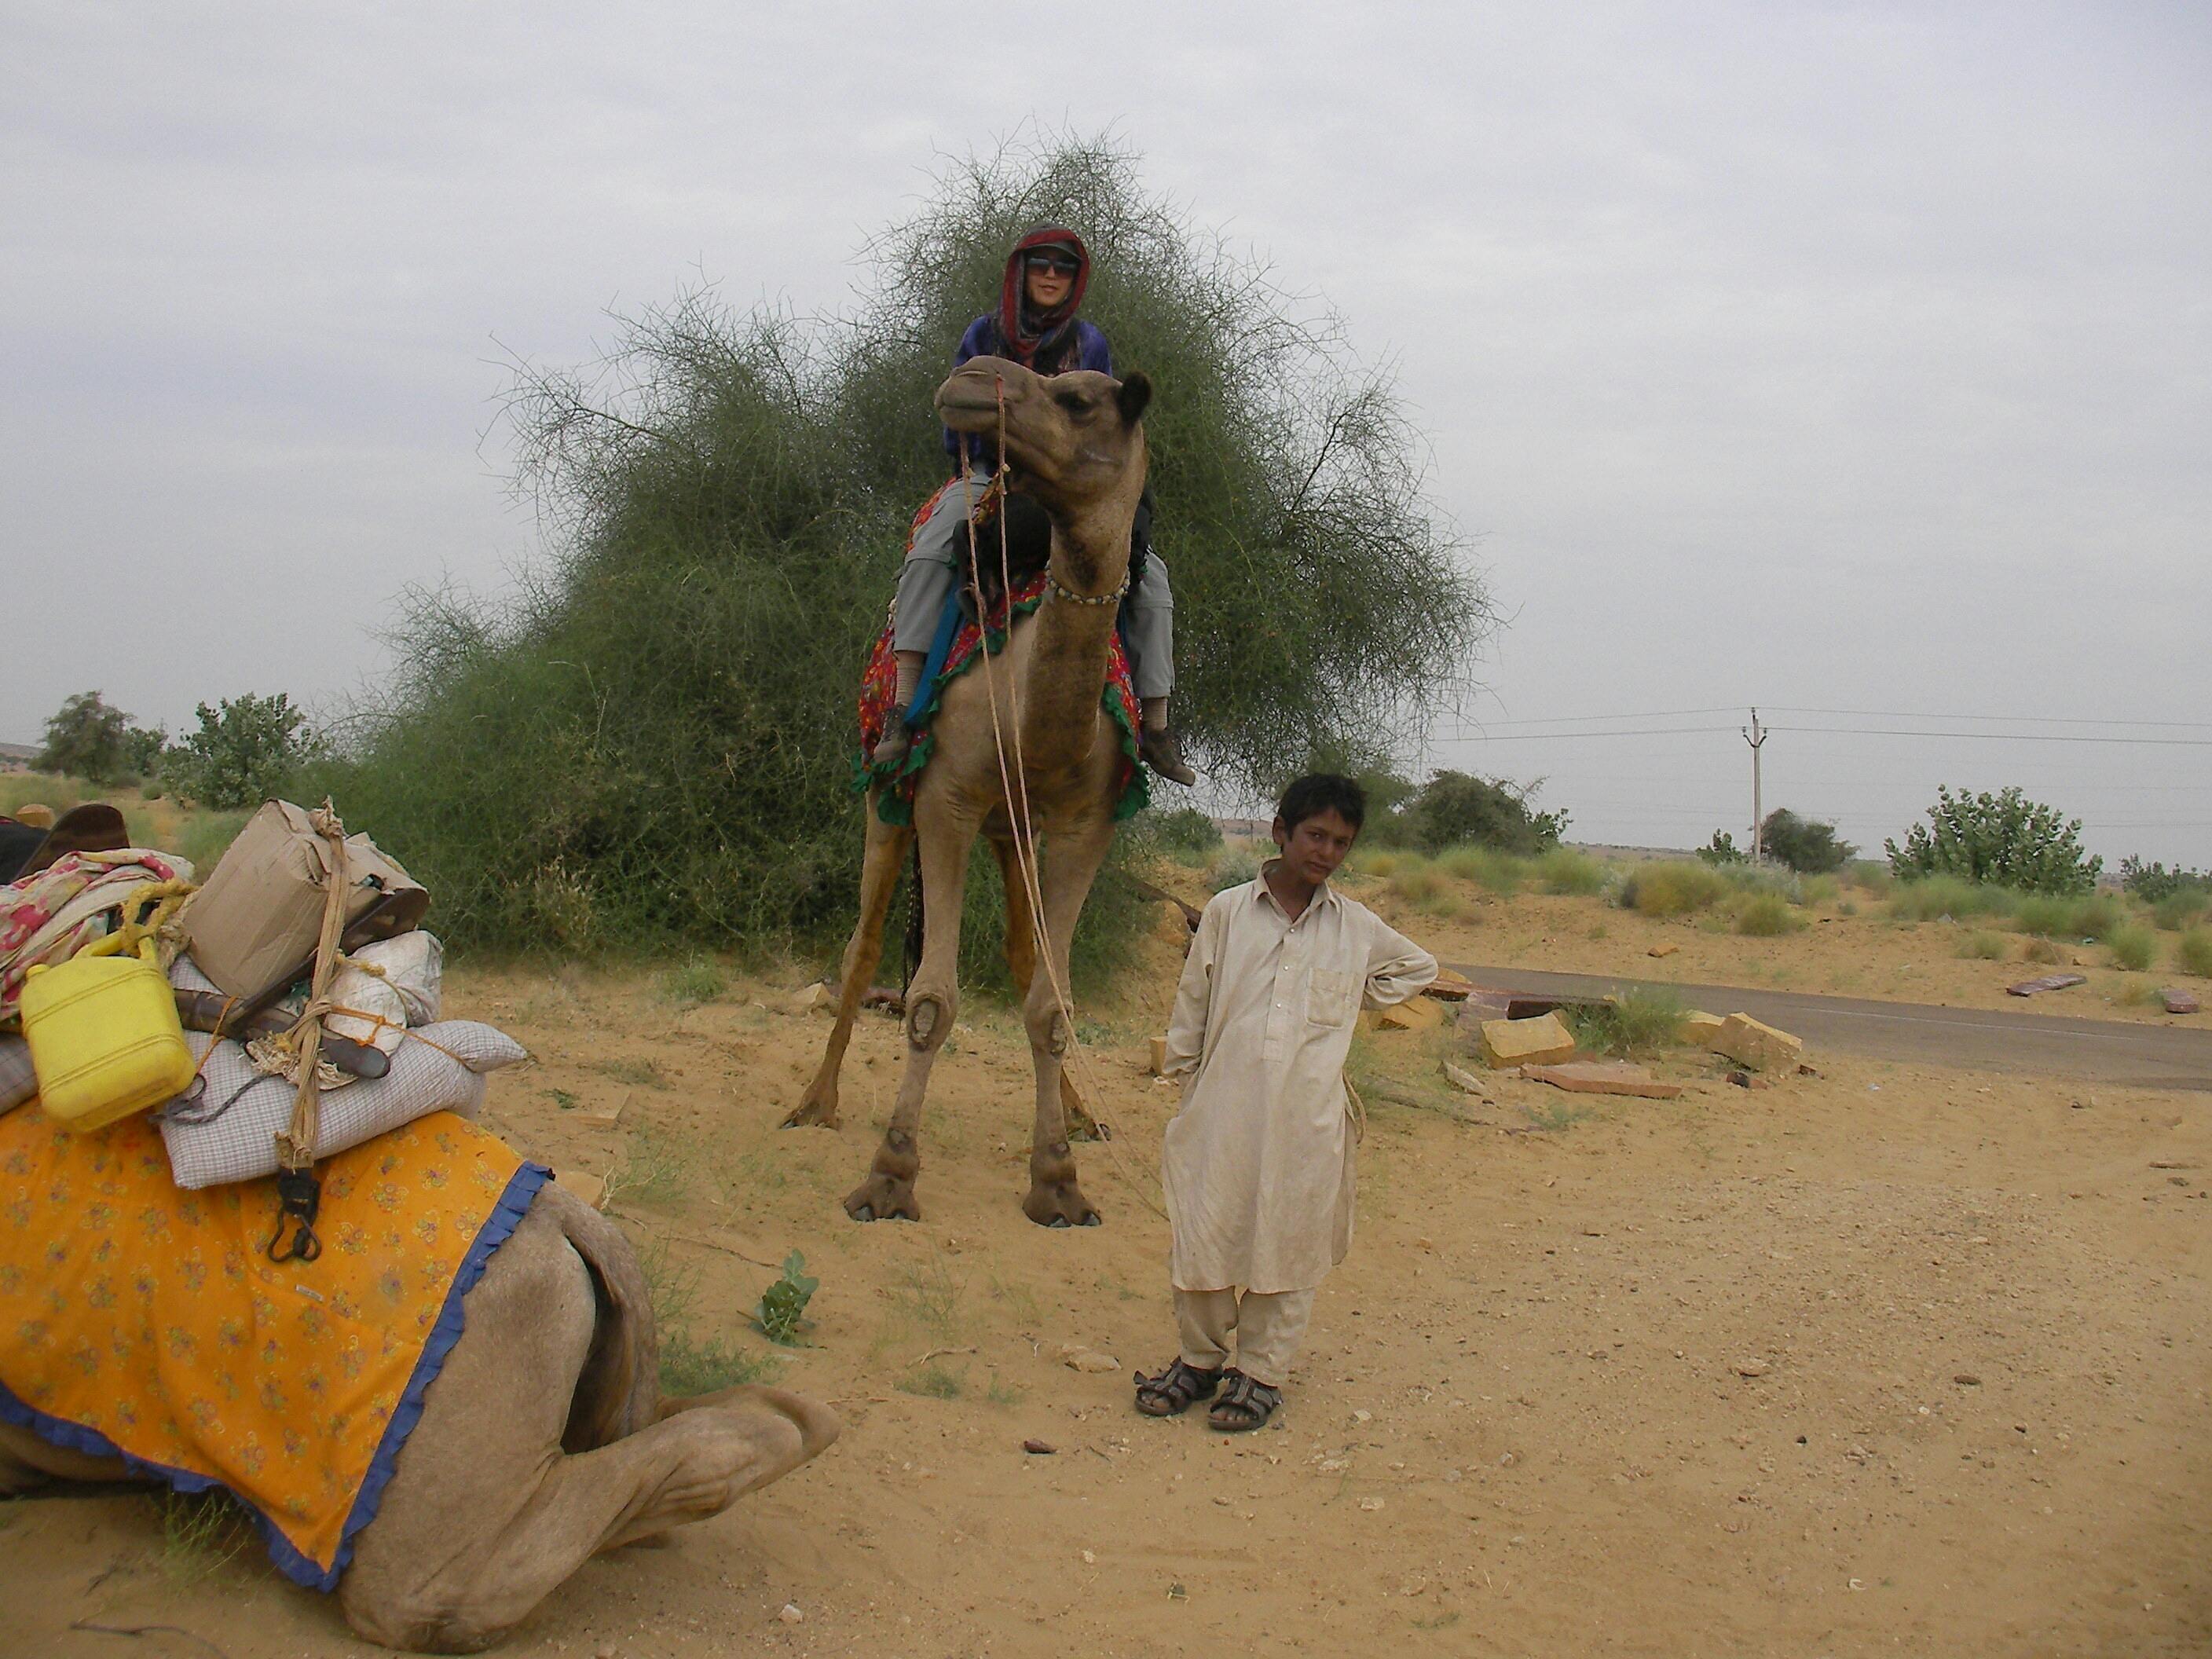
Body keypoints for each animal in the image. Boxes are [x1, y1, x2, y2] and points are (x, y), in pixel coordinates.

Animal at [782, 358, 1159, 1229]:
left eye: (1077, 400)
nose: (972, 377)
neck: (1031, 714)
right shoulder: (946, 802)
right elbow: (929, 1000)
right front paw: (888, 1177)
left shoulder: (1082, 823)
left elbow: (1051, 1005)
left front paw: (1059, 1182)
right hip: (889, 803)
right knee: (861, 946)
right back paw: (816, 1103)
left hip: (1009, 829)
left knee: (1025, 958)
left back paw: (1081, 1117)